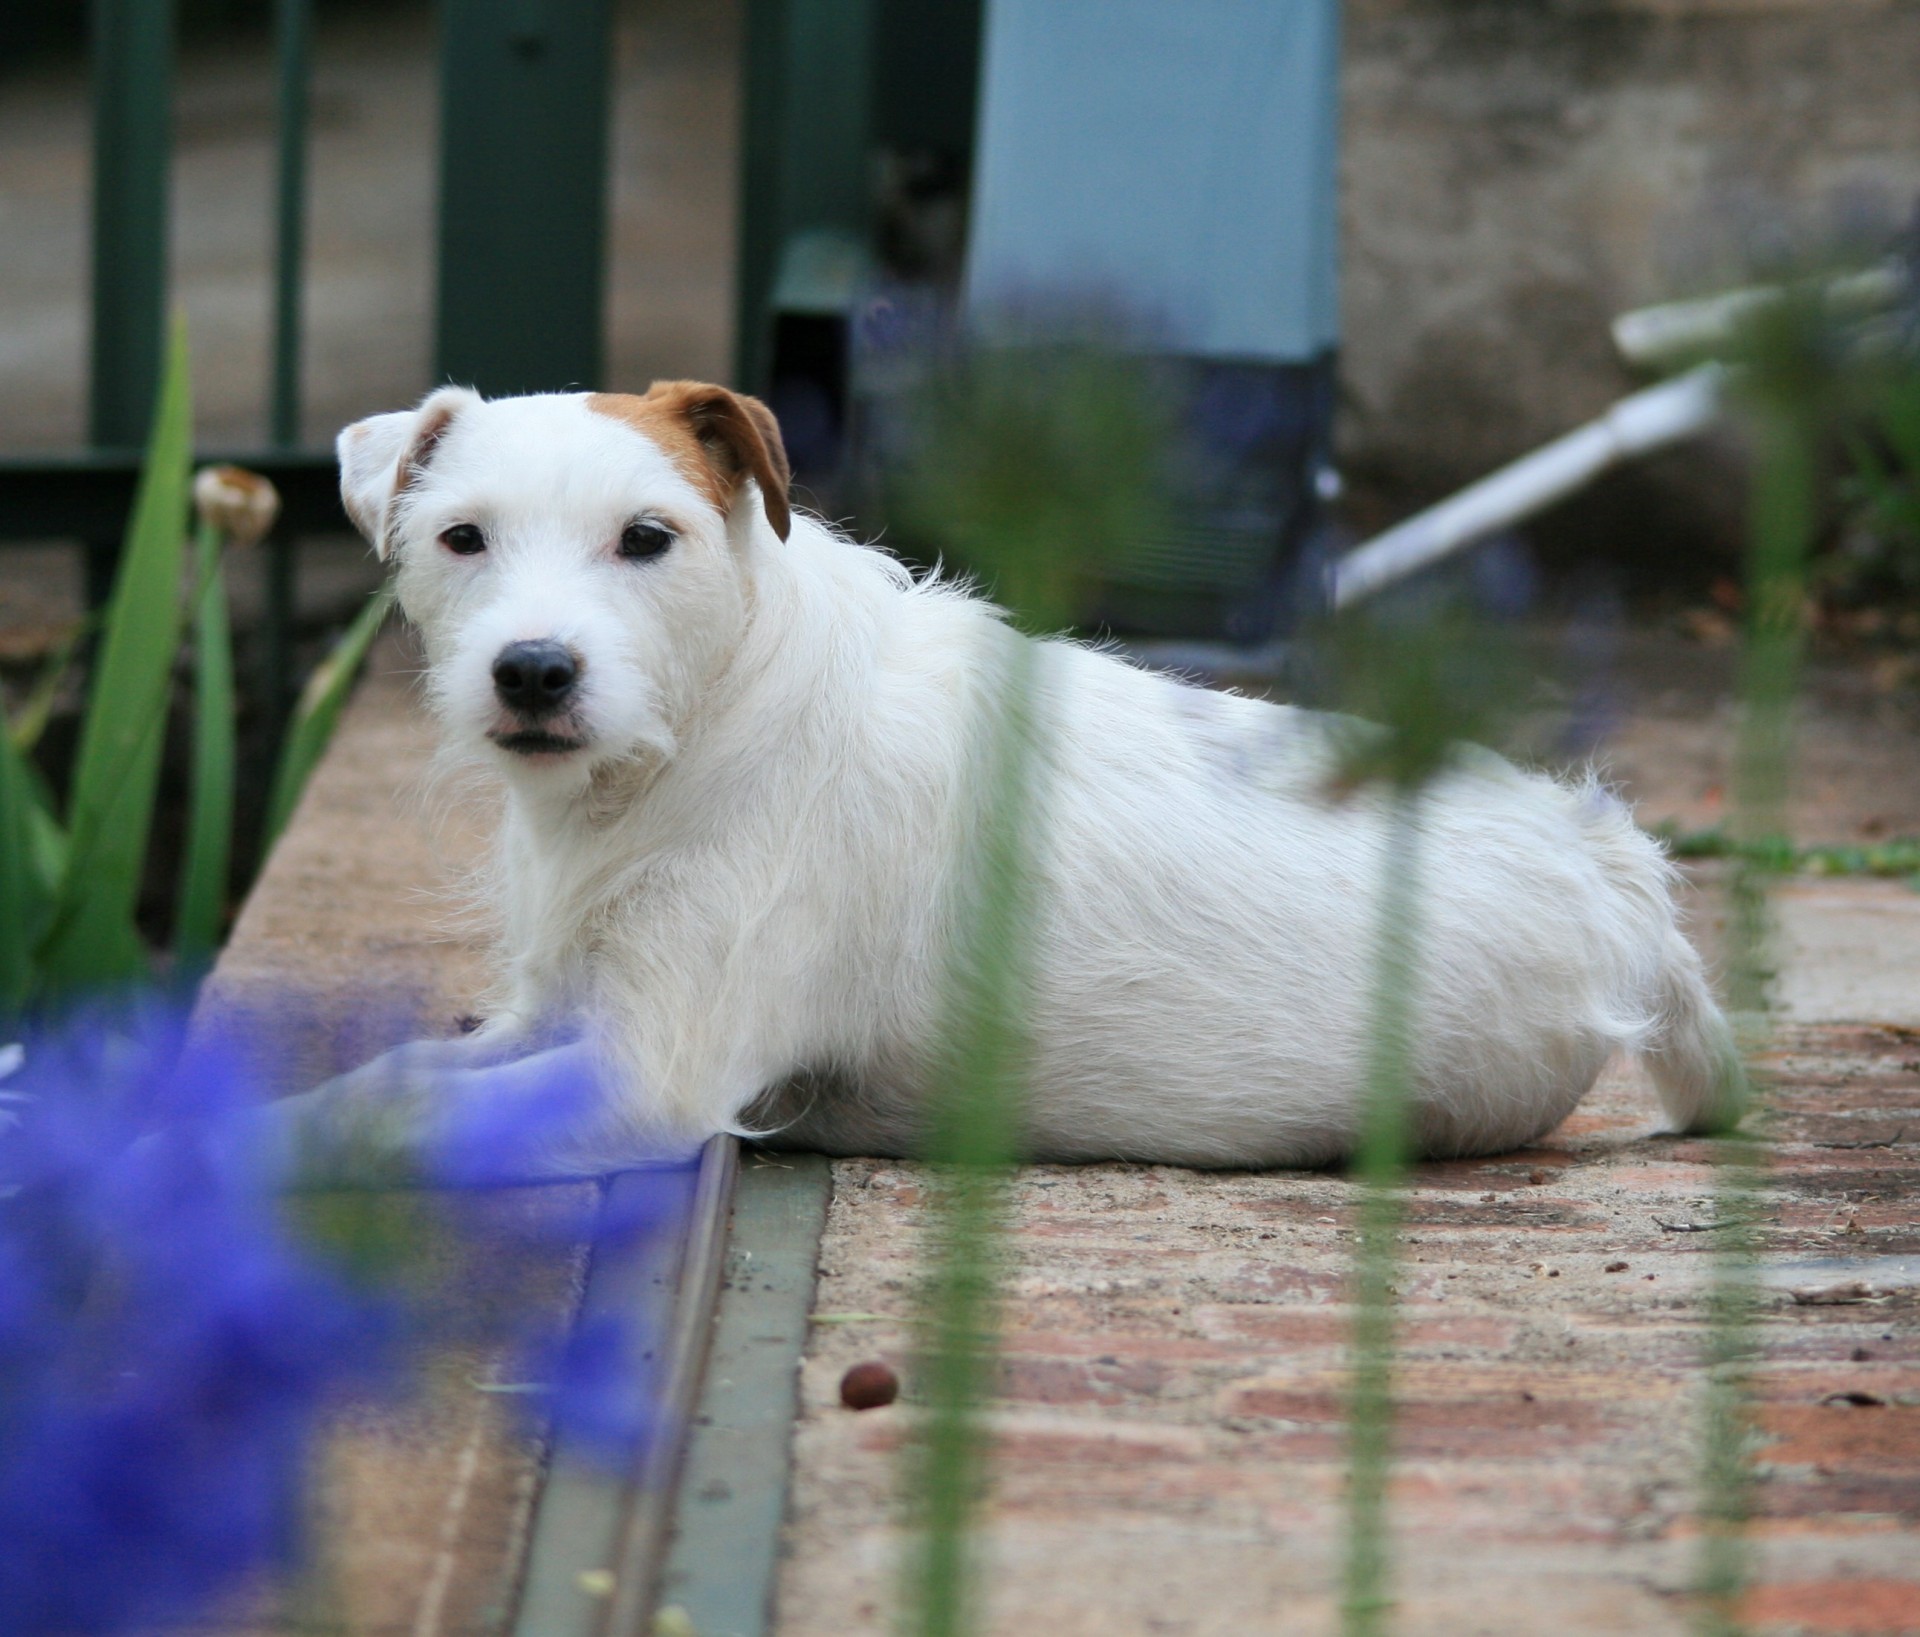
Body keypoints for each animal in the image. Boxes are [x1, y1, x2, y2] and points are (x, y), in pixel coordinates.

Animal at [288, 379, 1743, 1174]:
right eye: (461, 539)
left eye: (648, 539)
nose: (533, 672)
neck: (704, 723)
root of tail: (1611, 865)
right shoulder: (561, 1015)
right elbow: (389, 1082)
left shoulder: (649, 1075)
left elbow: (387, 1126)